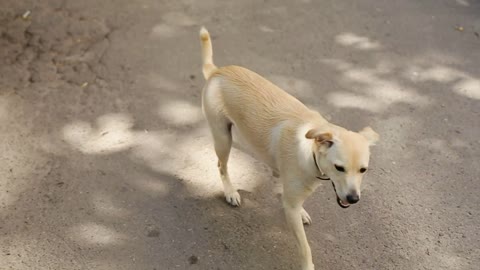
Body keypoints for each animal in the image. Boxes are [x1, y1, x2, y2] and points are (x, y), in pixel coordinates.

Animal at [199, 25, 378, 270]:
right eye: (339, 168)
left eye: (363, 170)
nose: (353, 199)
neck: (309, 151)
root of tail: (217, 72)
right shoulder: (290, 208)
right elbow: (305, 247)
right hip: (222, 137)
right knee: (221, 166)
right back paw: (230, 192)